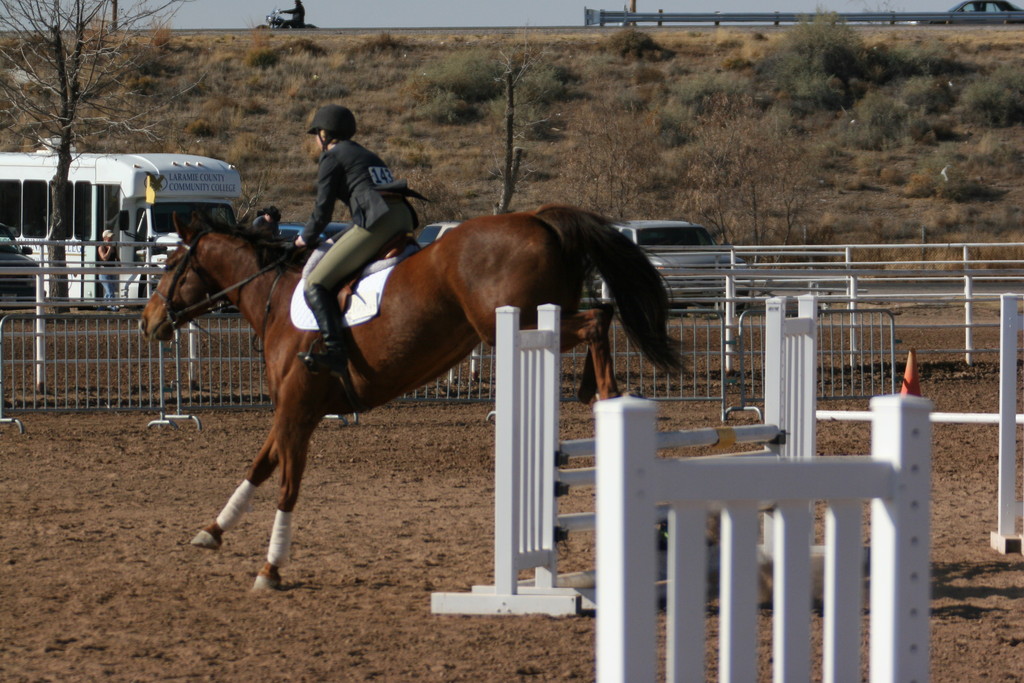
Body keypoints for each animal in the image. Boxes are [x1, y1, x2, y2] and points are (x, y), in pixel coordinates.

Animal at [136, 201, 679, 589]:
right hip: (535, 318)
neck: (273, 298)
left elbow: (288, 482)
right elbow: (261, 466)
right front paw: (214, 529)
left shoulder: (297, 409)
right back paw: (595, 391)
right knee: (600, 315)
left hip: (514, 321)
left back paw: (606, 392)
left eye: (170, 262)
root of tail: (537, 218)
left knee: (597, 321)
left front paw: (271, 568)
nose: (147, 321)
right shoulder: (295, 411)